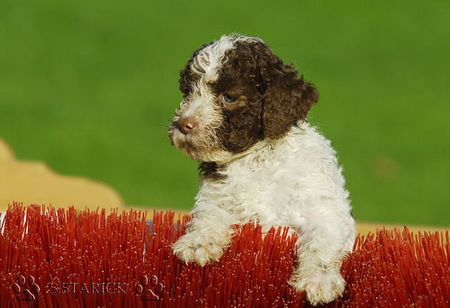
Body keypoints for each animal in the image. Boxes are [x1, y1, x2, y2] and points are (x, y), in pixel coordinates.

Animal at [167, 34, 356, 306]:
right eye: (189, 92)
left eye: (229, 97)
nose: (183, 125)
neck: (256, 159)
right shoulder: (216, 195)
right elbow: (208, 215)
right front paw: (197, 244)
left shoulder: (324, 208)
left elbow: (322, 241)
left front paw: (318, 281)